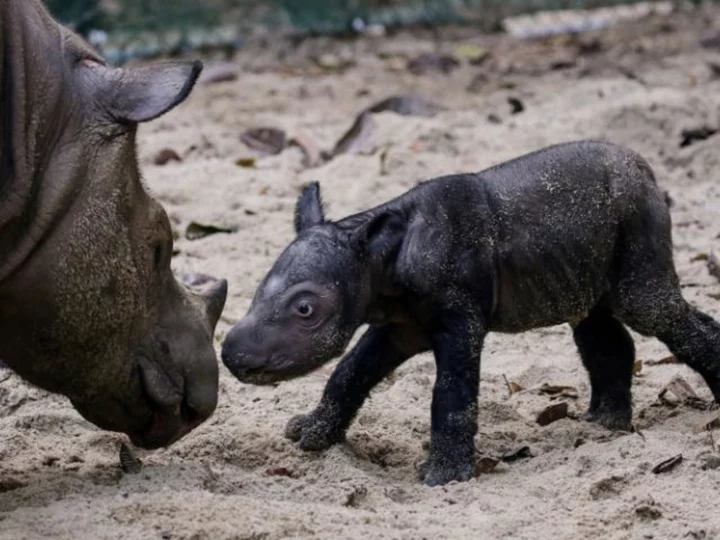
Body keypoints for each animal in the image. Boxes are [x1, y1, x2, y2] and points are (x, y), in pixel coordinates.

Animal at [219, 139, 720, 486]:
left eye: (305, 309)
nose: (233, 356)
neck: (378, 258)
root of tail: (646, 169)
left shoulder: (458, 318)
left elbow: (452, 393)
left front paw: (444, 478)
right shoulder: (400, 323)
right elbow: (351, 371)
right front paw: (312, 435)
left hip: (638, 215)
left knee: (647, 307)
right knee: (595, 324)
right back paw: (604, 425)